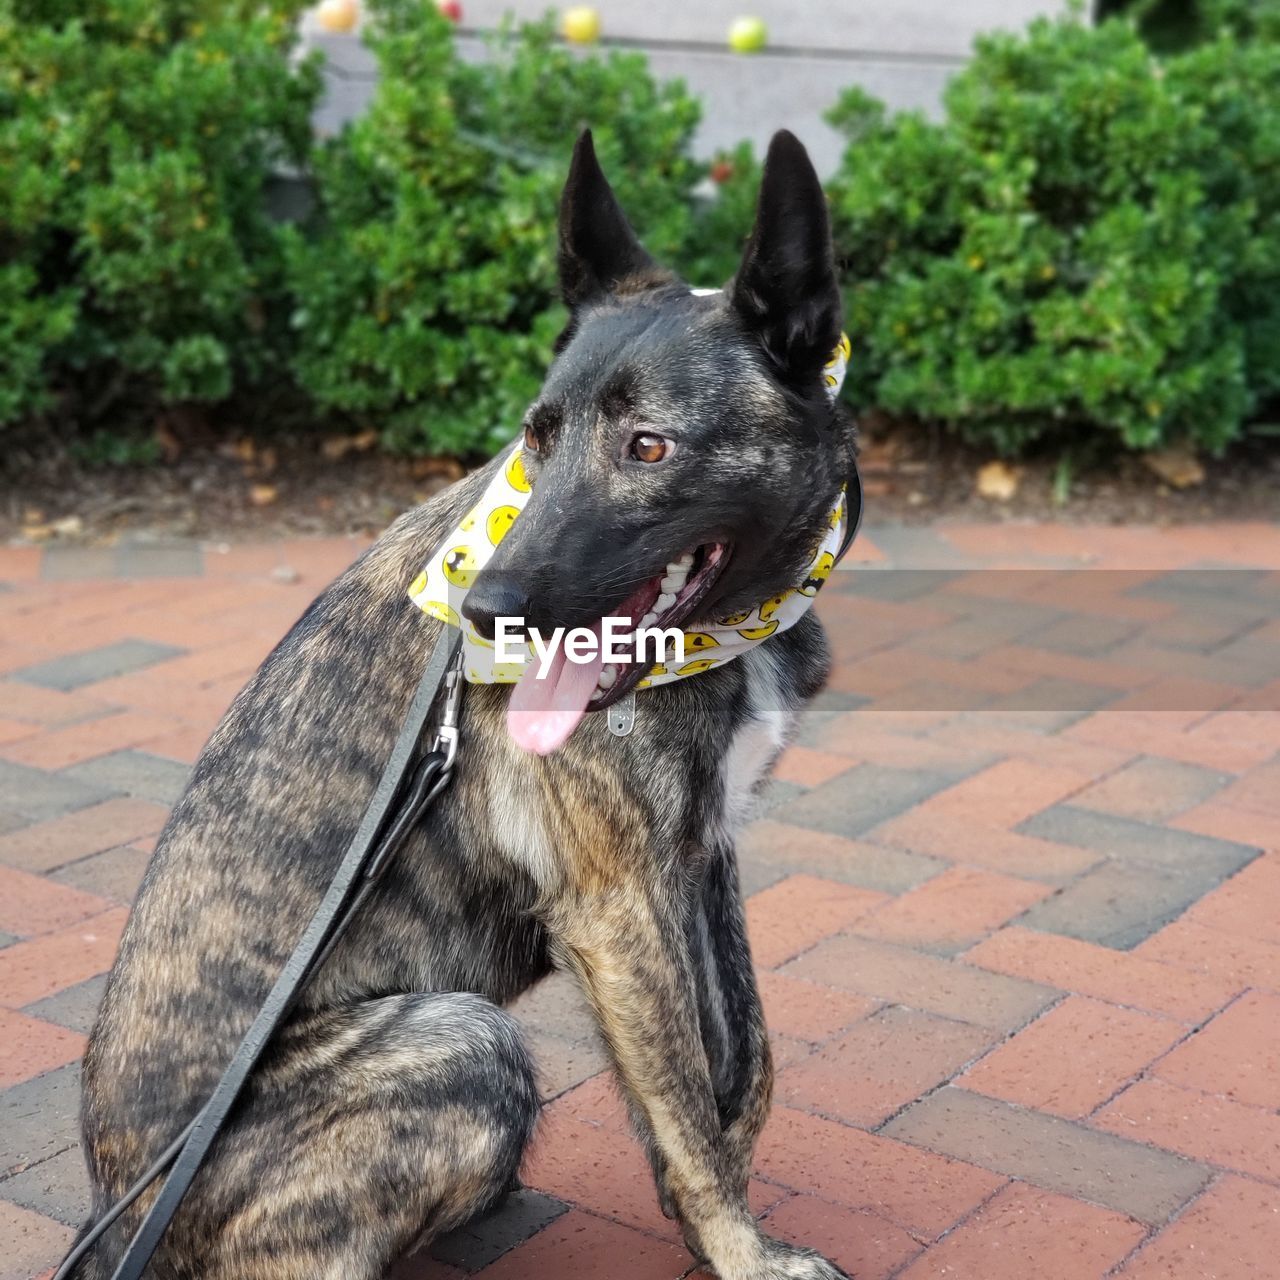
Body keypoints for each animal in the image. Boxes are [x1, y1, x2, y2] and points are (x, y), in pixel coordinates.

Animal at [85, 129, 855, 1280]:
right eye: (537, 436)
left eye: (650, 446)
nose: (488, 610)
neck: (724, 629)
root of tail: (120, 1216)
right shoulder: (618, 902)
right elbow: (689, 1101)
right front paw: (743, 1252)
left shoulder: (697, 859)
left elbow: (741, 1067)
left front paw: (715, 1227)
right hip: (465, 1042)